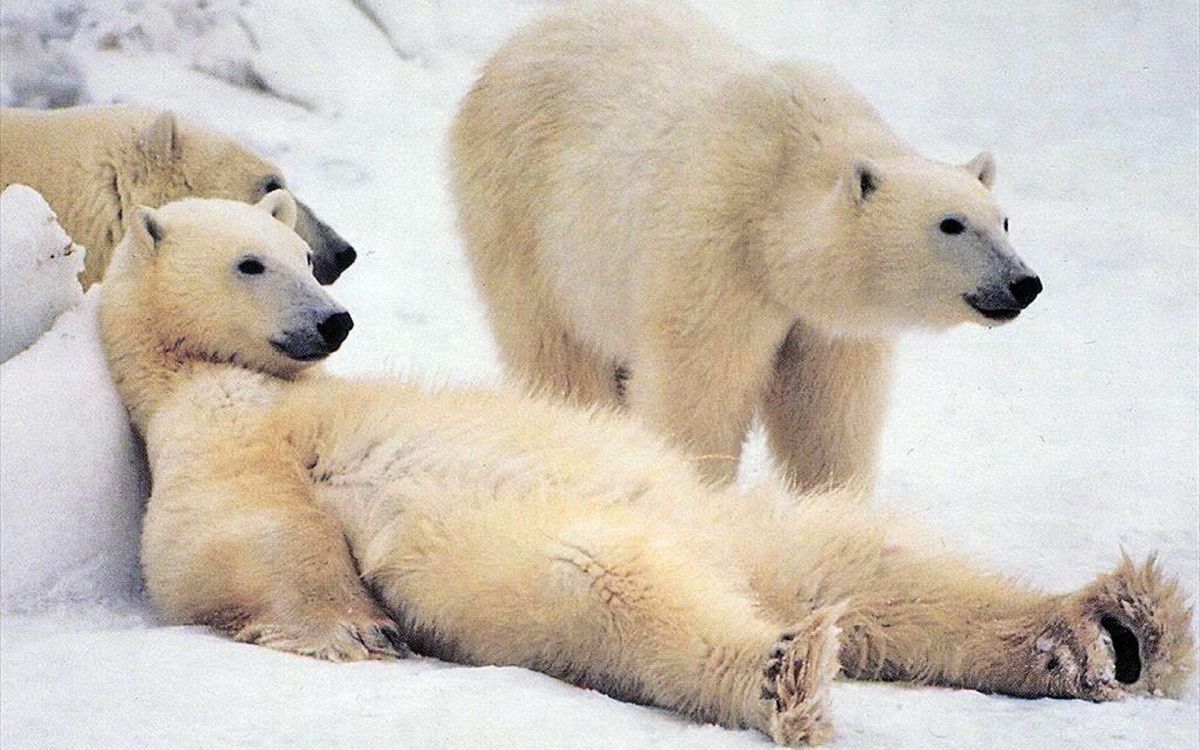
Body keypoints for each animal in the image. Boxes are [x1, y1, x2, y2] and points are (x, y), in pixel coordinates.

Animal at [100, 194, 1190, 744]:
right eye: (252, 261)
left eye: (302, 256)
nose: (333, 321)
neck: (226, 377)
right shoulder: (211, 441)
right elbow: (235, 541)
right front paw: (354, 630)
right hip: (550, 548)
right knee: (609, 588)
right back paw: (786, 670)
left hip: (740, 520)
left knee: (873, 565)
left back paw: (1111, 630)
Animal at [451, 0, 1041, 489]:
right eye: (951, 224)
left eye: (1004, 221)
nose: (1024, 283)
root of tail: (523, 37)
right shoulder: (716, 250)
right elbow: (700, 389)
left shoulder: (827, 324)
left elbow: (827, 410)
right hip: (524, 216)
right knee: (557, 351)